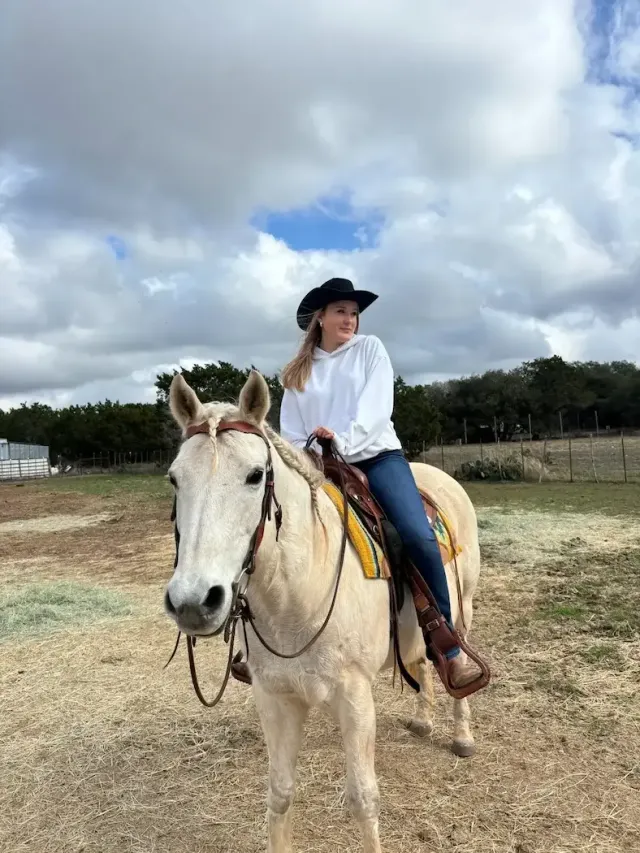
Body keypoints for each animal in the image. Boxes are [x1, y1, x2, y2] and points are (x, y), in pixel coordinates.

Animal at [164, 369, 482, 853]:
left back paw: (461, 733)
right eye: (174, 480)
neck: (297, 597)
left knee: (452, 657)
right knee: (419, 660)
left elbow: (363, 800)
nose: (194, 601)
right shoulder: (275, 699)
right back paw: (423, 721)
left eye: (255, 476)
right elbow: (279, 794)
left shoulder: (354, 699)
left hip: (462, 609)